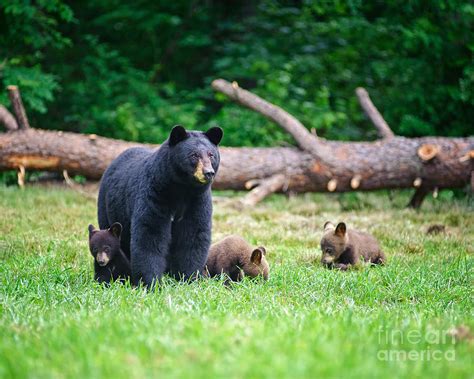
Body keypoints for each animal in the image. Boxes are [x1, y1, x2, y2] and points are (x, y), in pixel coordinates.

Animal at [97, 124, 223, 288]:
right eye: (194, 155)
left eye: (211, 155)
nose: (208, 173)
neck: (182, 189)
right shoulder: (155, 194)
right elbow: (150, 233)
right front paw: (150, 282)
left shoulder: (197, 201)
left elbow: (193, 234)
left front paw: (189, 278)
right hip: (107, 208)